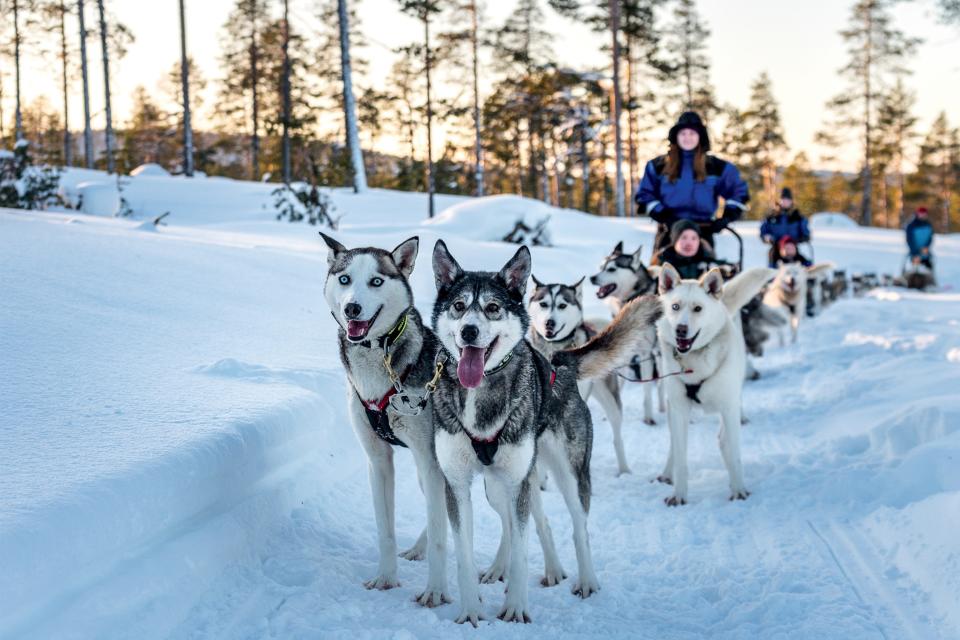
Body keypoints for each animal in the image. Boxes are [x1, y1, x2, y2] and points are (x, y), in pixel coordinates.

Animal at [316, 236, 448, 608]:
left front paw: (435, 591)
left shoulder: (431, 460)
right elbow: (385, 530)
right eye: (344, 278)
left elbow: (439, 533)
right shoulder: (379, 461)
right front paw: (387, 578)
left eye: (376, 281)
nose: (352, 309)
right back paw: (417, 548)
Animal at [524, 280, 632, 476]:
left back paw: (624, 469)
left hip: (610, 401)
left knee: (617, 436)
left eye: (562, 305)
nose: (549, 322)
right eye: (543, 304)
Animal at [588, 242, 664, 428]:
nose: (592, 278)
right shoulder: (621, 354)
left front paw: (648, 417)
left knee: (661, 384)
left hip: (659, 354)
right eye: (601, 267)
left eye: (612, 269)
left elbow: (647, 394)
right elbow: (619, 386)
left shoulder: (645, 355)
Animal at [656, 264, 776, 504]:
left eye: (698, 308)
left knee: (724, 439)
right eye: (675, 306)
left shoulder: (728, 407)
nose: (680, 329)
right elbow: (681, 457)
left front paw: (738, 490)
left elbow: (735, 454)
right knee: (675, 443)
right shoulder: (679, 408)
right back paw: (667, 472)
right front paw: (679, 495)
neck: (694, 364)